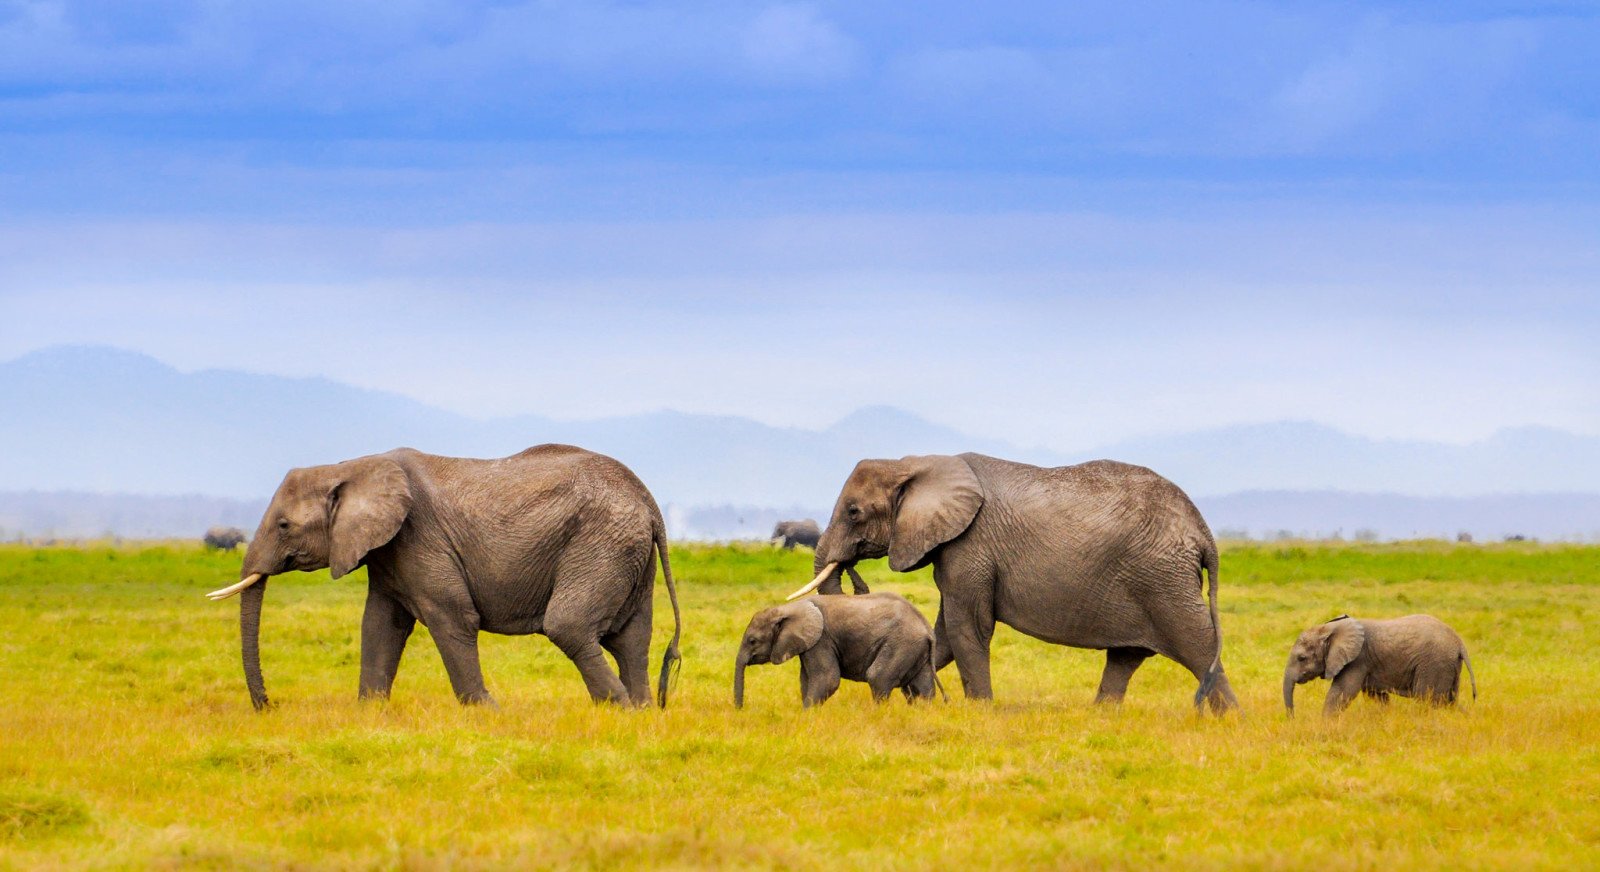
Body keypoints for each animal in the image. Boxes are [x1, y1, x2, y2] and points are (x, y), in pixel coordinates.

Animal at [206, 444, 681, 710]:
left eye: (284, 525)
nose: (268, 706)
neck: (351, 467)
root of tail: (650, 504)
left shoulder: (420, 538)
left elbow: (451, 618)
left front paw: (487, 712)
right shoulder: (390, 552)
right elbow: (380, 625)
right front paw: (369, 713)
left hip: (600, 543)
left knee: (570, 626)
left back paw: (619, 708)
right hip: (627, 553)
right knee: (630, 637)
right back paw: (640, 711)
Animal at [732, 592, 940, 707]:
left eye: (752, 641)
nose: (740, 709)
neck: (788, 608)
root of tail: (926, 629)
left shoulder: (821, 640)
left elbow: (827, 679)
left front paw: (807, 715)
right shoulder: (810, 644)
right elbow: (806, 681)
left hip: (901, 643)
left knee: (878, 677)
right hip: (914, 648)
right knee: (922, 686)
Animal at [787, 451, 1235, 710]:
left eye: (854, 512)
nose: (854, 575)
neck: (913, 464)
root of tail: (1202, 532)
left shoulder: (970, 546)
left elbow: (966, 627)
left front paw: (978, 711)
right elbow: (943, 632)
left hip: (1164, 580)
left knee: (1197, 646)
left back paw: (1232, 721)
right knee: (1125, 658)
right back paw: (1100, 717)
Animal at [1280, 611, 1478, 713]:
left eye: (1302, 658)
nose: (1293, 719)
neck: (1330, 628)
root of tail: (1459, 642)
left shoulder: (1357, 660)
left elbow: (1342, 692)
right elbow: (1376, 695)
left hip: (1434, 664)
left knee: (1428, 699)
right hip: (1448, 665)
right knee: (1448, 700)